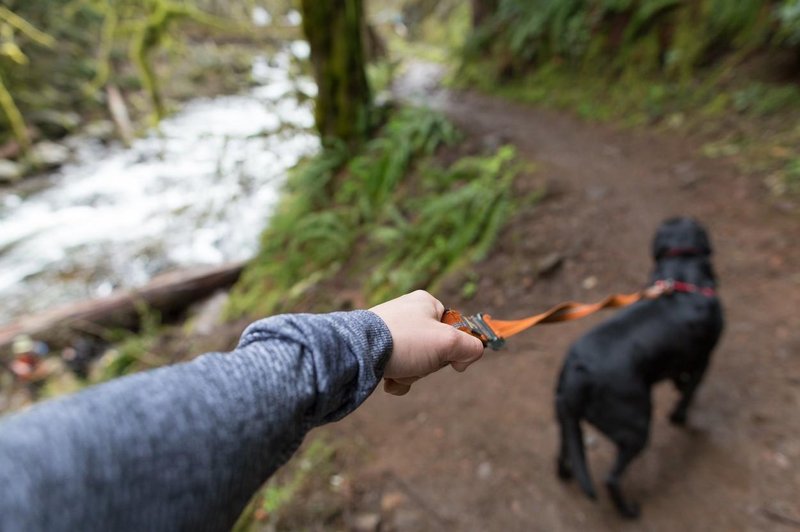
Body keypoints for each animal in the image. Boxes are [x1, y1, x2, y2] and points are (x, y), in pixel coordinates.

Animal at [556, 216, 724, 516]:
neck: (683, 276)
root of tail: (578, 372)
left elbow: (680, 380)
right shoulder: (705, 358)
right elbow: (689, 393)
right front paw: (679, 417)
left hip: (566, 418)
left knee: (564, 454)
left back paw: (567, 475)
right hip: (635, 427)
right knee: (611, 478)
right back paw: (628, 511)